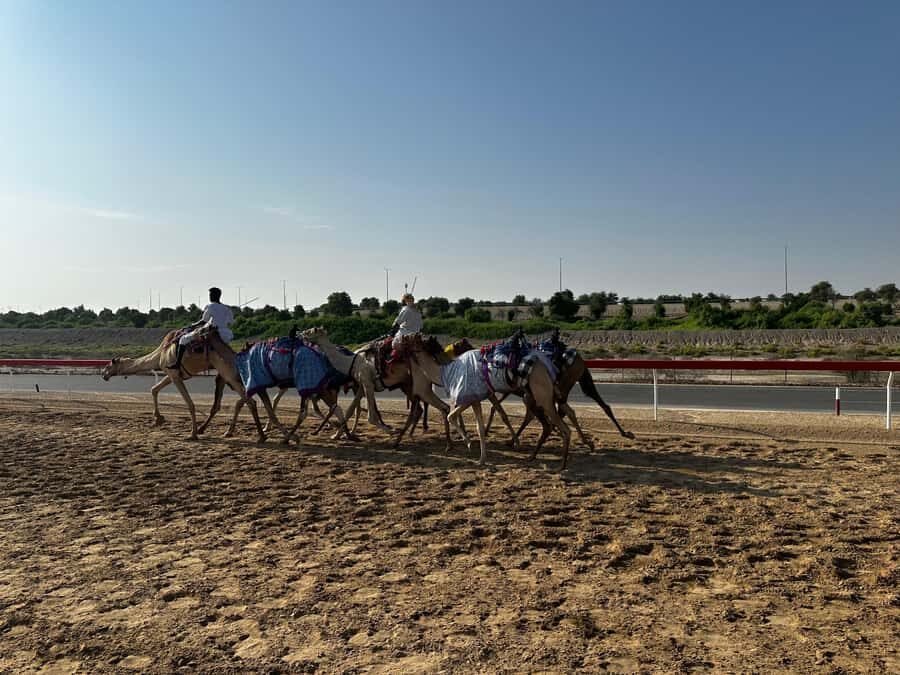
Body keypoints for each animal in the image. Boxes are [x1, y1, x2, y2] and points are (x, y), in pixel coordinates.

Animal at [101, 328, 268, 441]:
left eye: (109, 365)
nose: (103, 374)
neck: (160, 353)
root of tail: (234, 354)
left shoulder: (175, 376)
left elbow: (190, 403)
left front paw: (192, 434)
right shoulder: (172, 374)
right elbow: (154, 389)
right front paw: (158, 419)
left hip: (229, 374)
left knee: (250, 400)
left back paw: (260, 435)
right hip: (231, 375)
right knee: (249, 398)